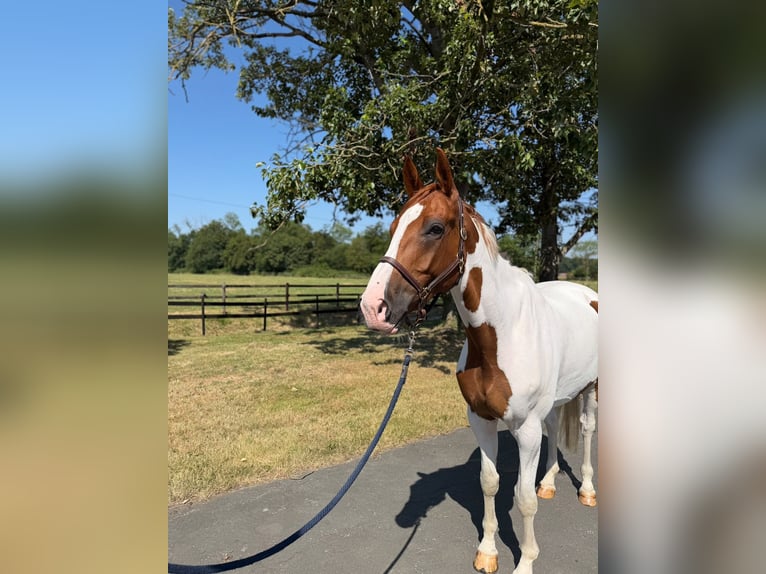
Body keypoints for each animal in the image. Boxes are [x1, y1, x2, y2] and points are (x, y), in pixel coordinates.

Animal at [359, 149, 598, 574]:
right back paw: (550, 482)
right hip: (556, 400)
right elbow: (490, 483)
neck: (499, 336)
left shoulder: (526, 430)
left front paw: (525, 562)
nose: (373, 308)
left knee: (587, 430)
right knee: (556, 427)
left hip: (592, 388)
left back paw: (586, 490)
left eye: (435, 228)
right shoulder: (481, 420)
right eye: (393, 226)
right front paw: (487, 552)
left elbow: (522, 498)